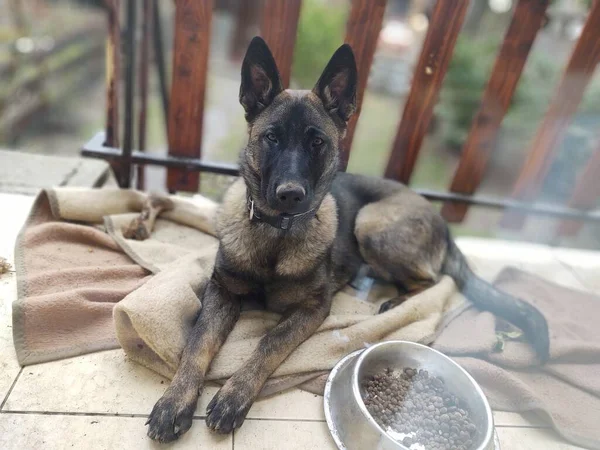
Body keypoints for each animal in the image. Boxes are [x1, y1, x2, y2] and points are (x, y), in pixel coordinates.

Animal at [145, 36, 548, 442]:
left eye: (317, 142)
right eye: (271, 138)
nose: (290, 195)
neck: (277, 234)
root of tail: (443, 223)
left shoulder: (312, 308)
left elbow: (269, 343)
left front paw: (233, 395)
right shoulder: (222, 291)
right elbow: (197, 344)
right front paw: (175, 401)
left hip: (371, 226)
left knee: (433, 279)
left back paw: (397, 301)